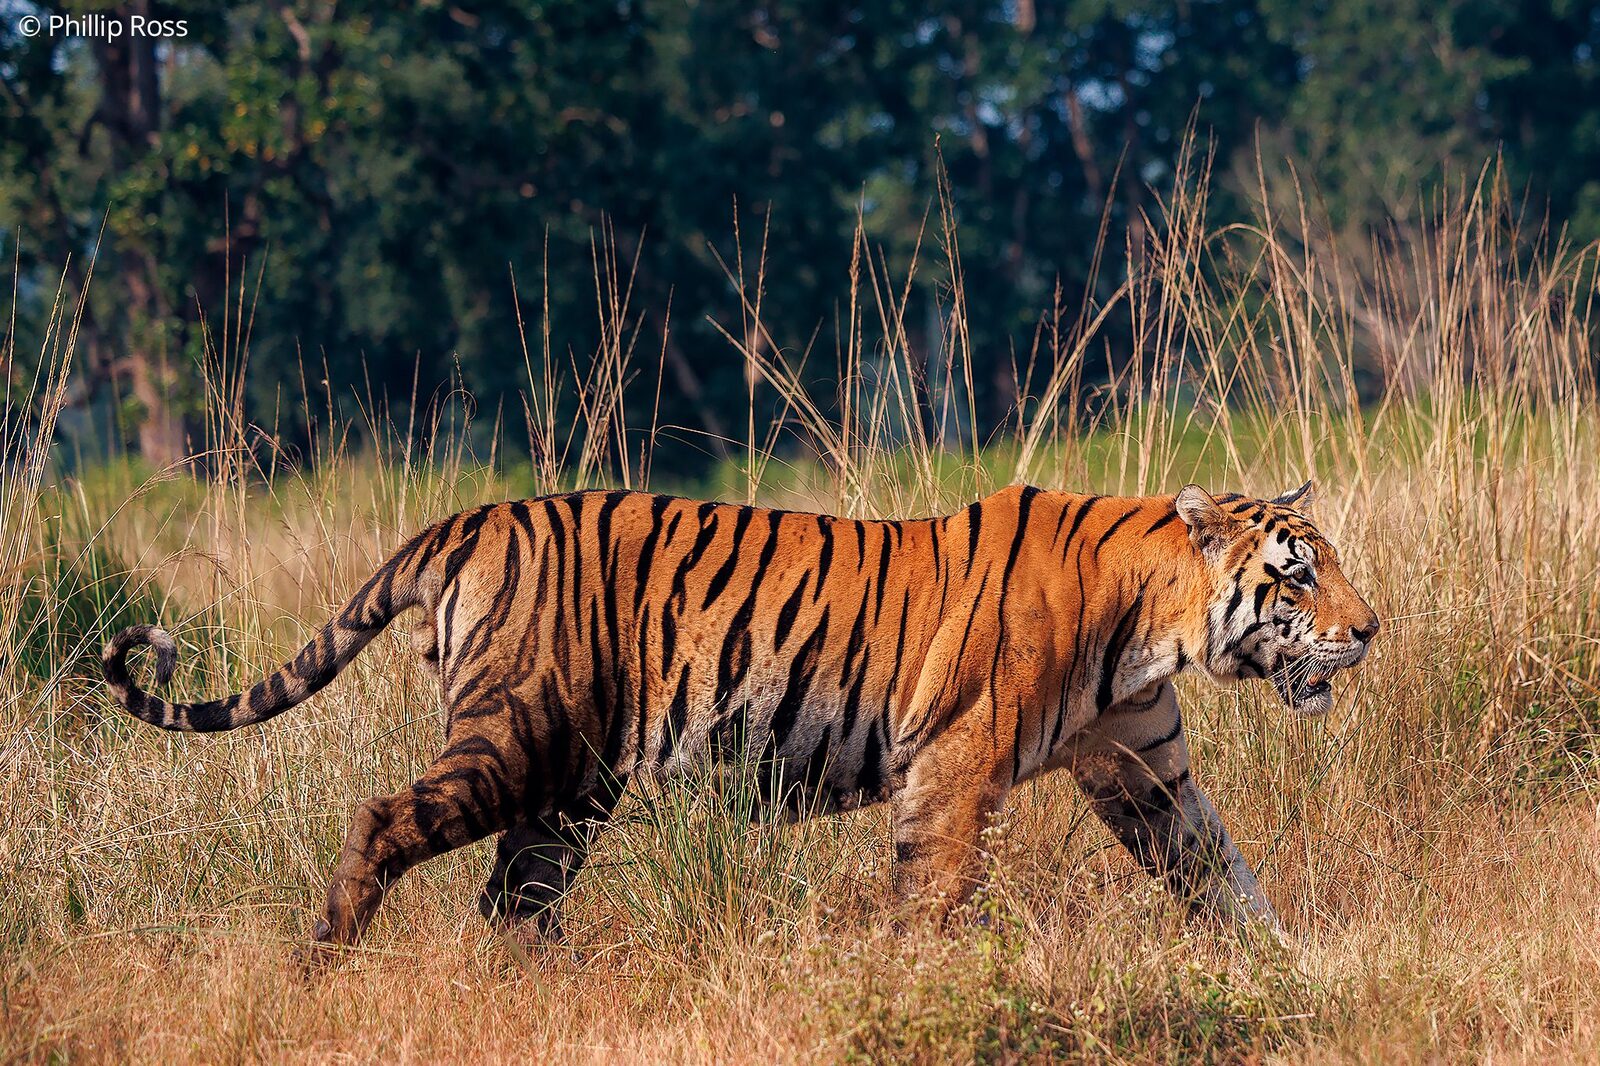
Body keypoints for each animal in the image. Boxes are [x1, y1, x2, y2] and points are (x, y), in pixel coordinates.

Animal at [102, 481, 1378, 951]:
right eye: (1296, 574)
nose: (1368, 629)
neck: (1155, 623)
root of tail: (468, 518)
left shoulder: (1143, 768)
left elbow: (1223, 876)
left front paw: (1291, 972)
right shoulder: (953, 765)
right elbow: (930, 891)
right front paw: (909, 982)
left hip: (570, 787)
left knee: (511, 900)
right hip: (514, 737)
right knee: (384, 824)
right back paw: (322, 963)